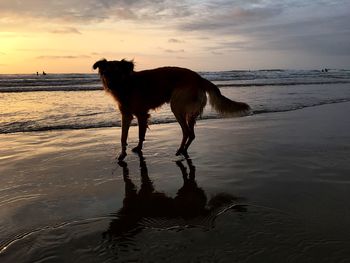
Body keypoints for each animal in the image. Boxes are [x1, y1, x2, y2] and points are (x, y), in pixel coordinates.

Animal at [93, 58, 250, 160]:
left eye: (118, 72)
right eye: (106, 73)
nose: (110, 85)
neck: (127, 85)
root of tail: (198, 78)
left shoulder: (142, 115)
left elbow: (140, 135)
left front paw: (138, 149)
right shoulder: (126, 115)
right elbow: (122, 137)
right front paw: (122, 154)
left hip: (176, 107)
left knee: (187, 132)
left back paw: (180, 150)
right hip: (189, 112)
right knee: (192, 134)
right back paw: (184, 150)